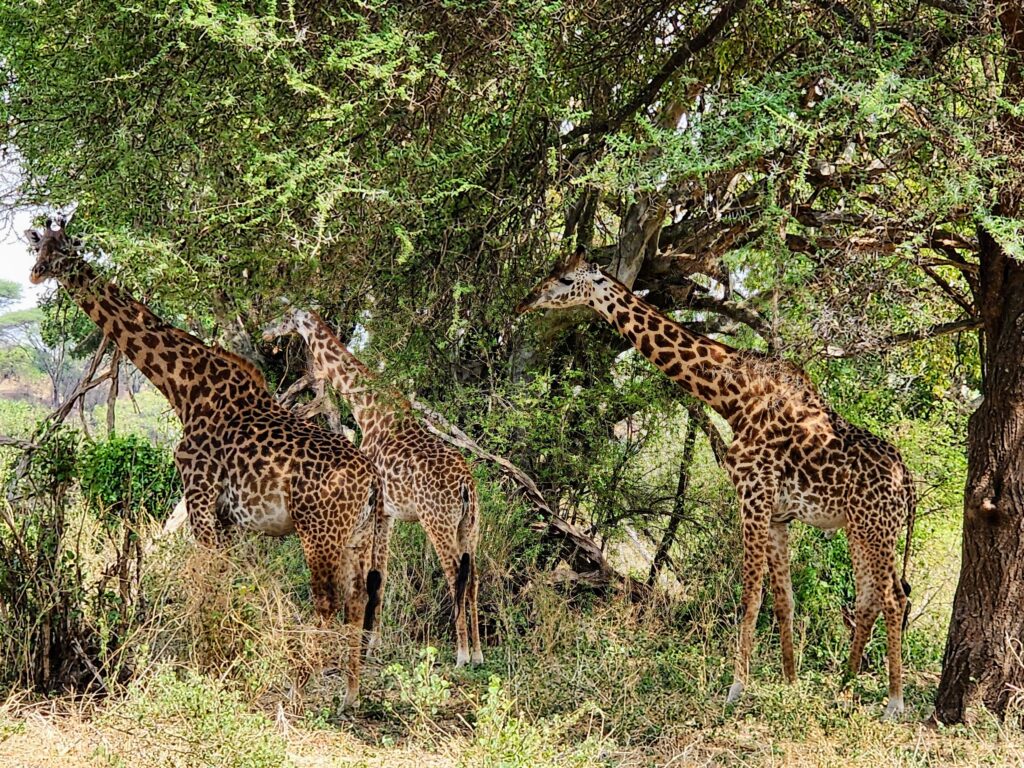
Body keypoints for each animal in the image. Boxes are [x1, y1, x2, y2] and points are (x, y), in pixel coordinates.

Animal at [29, 221, 387, 708]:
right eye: (39, 247)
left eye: (64, 250)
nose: (35, 272)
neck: (185, 388)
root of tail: (371, 479)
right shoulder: (228, 517)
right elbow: (224, 582)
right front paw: (222, 660)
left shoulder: (199, 497)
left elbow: (208, 582)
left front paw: (208, 667)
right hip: (357, 535)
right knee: (356, 600)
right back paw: (349, 693)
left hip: (320, 532)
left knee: (327, 601)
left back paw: (298, 687)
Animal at [260, 307, 483, 667]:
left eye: (284, 317)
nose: (266, 333)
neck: (366, 409)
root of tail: (466, 485)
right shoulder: (388, 513)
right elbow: (383, 574)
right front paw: (373, 639)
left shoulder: (376, 509)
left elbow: (372, 576)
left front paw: (368, 642)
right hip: (470, 525)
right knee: (474, 578)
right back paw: (478, 653)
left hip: (437, 520)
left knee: (454, 575)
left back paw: (462, 654)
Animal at [524, 252, 917, 720]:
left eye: (566, 279)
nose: (529, 299)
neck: (733, 397)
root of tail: (908, 482)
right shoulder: (778, 513)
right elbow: (783, 599)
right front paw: (789, 682)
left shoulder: (753, 493)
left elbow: (750, 596)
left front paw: (736, 688)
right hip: (861, 529)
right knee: (872, 597)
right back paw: (845, 685)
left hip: (875, 529)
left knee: (893, 598)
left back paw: (893, 702)